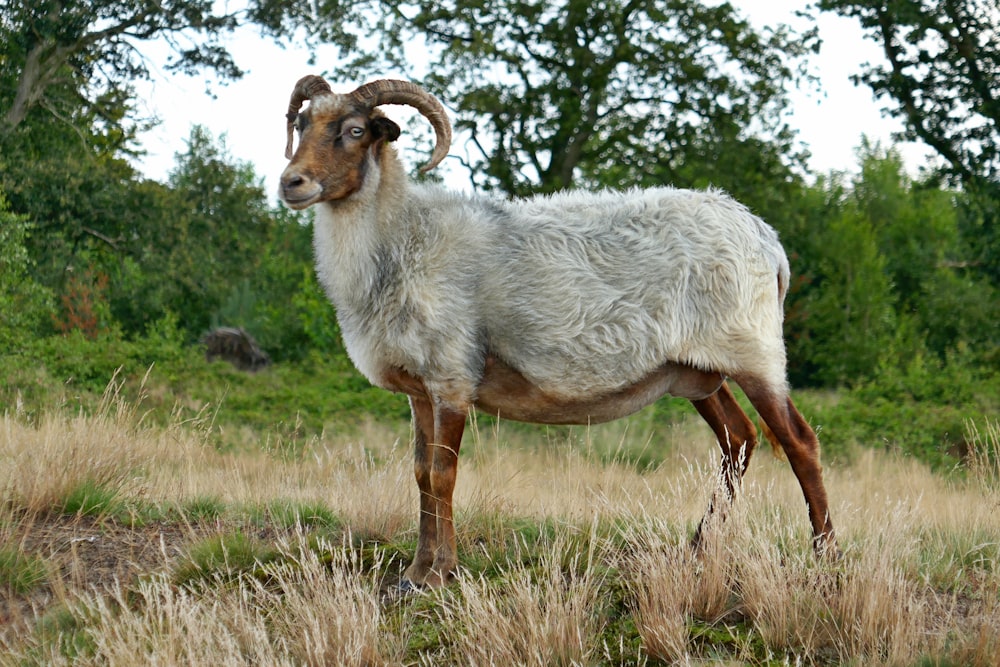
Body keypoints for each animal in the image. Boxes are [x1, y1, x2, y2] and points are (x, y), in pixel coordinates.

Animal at [280, 74, 836, 588]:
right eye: (302, 124)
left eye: (354, 131)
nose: (291, 183)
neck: (403, 238)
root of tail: (766, 237)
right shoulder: (419, 387)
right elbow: (420, 474)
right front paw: (415, 572)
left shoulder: (452, 377)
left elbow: (443, 474)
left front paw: (441, 573)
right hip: (697, 370)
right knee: (738, 442)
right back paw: (696, 551)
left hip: (754, 353)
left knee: (799, 443)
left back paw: (825, 557)